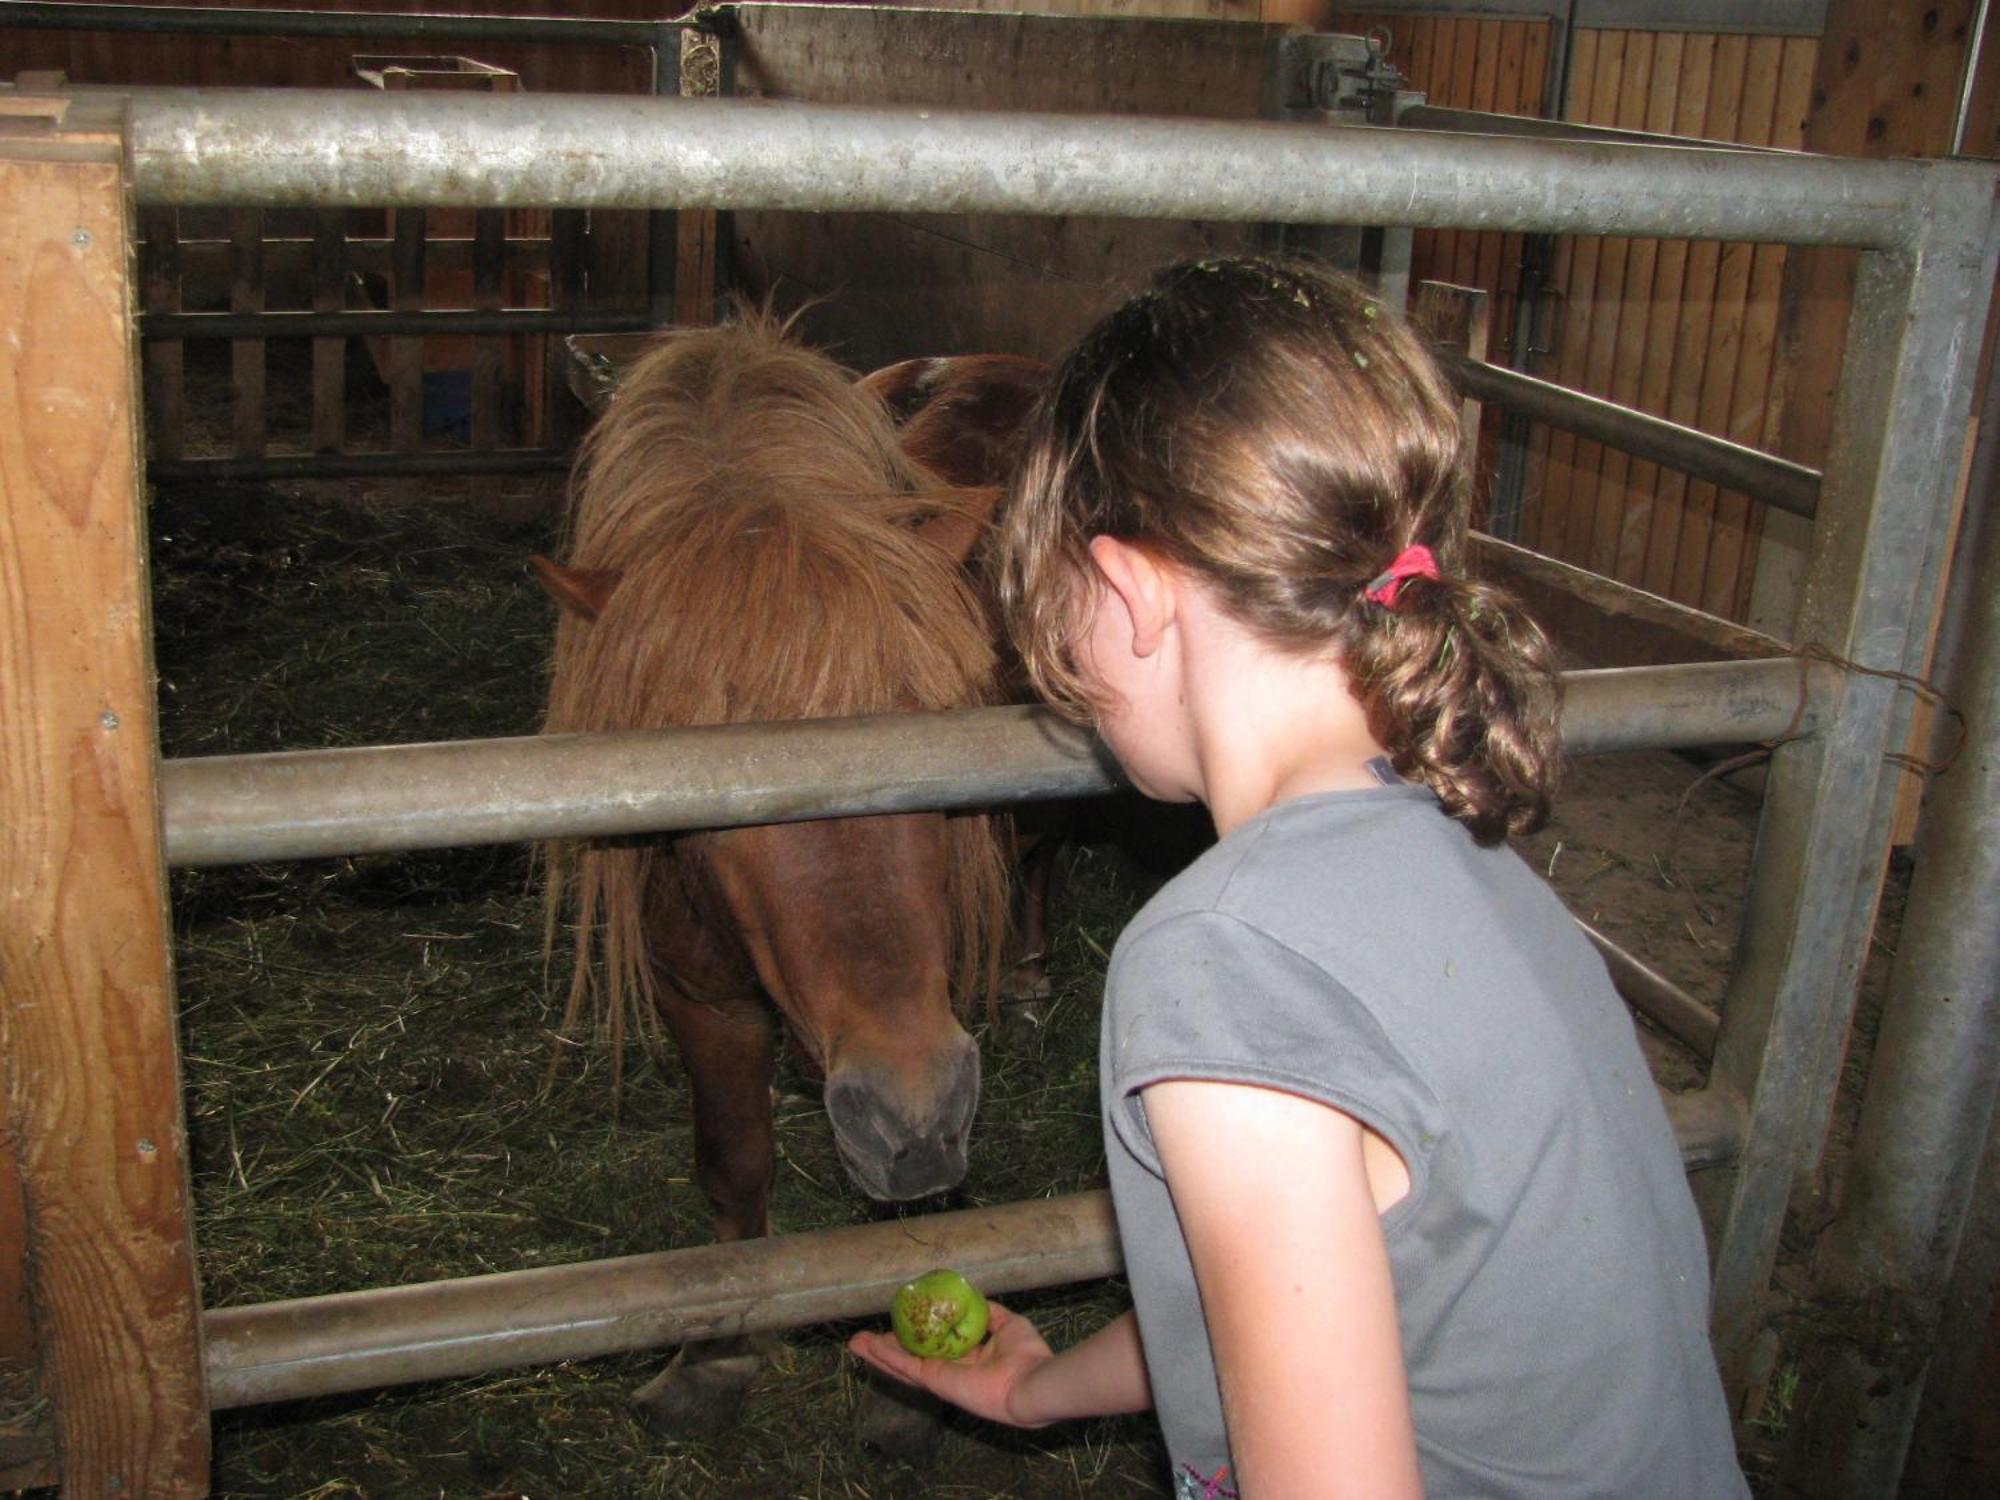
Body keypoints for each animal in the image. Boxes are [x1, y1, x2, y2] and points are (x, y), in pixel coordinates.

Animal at [540, 320, 1024, 1432]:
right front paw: (719, 1357)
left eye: (936, 728)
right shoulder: (698, 996)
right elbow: (732, 1159)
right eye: (707, 777)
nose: (910, 1106)